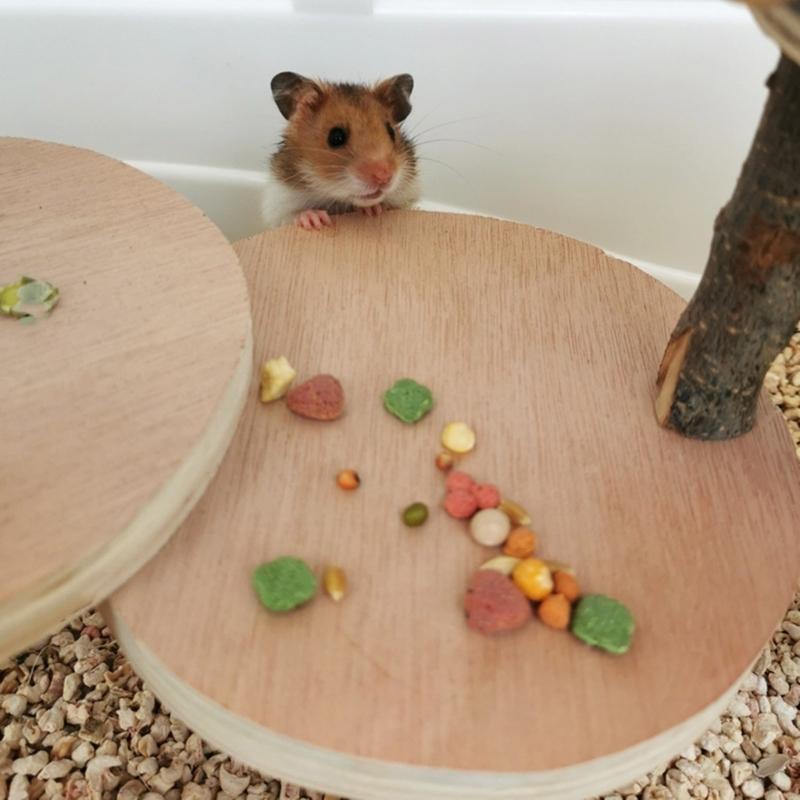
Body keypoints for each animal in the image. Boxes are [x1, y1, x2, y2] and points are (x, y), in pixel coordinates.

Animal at [261, 72, 420, 231]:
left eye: (391, 131)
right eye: (336, 137)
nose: (384, 177)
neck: (336, 199)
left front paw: (374, 209)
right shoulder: (278, 206)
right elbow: (292, 216)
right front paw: (315, 220)